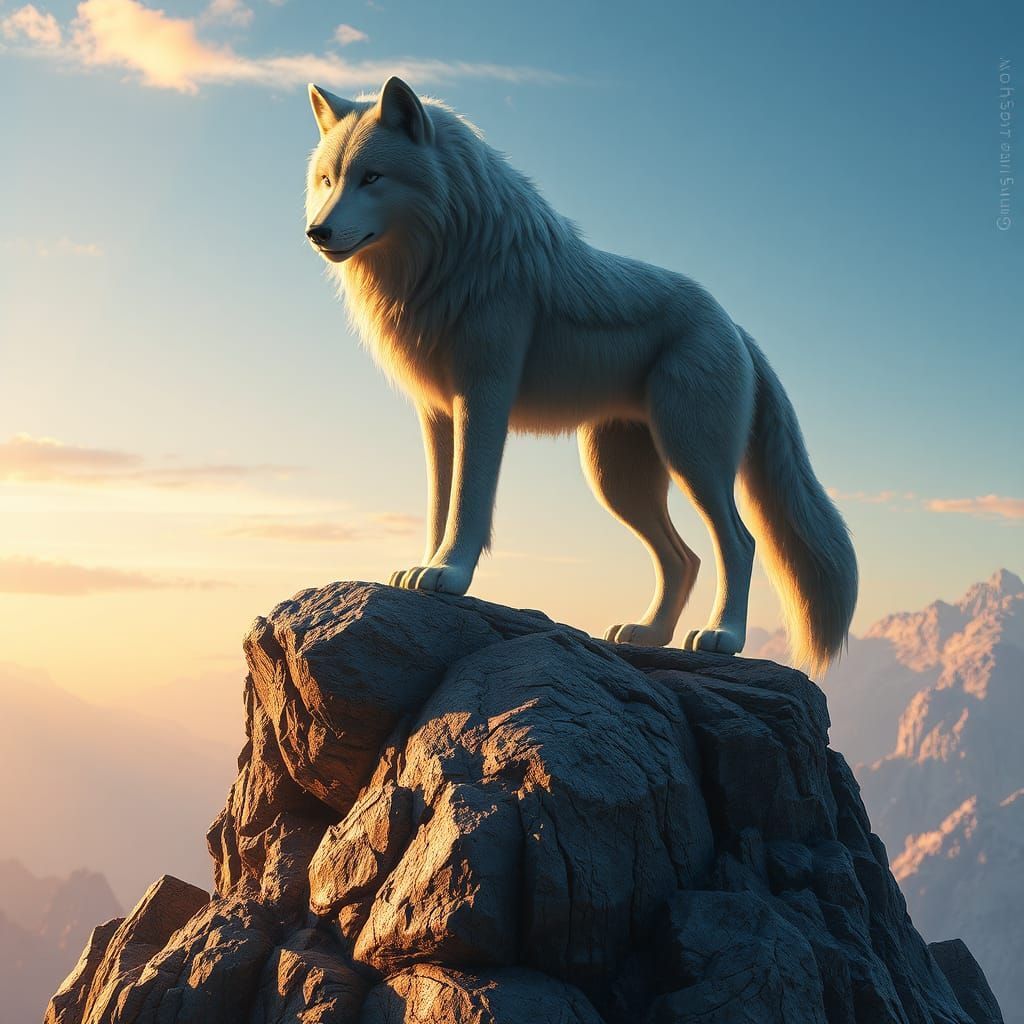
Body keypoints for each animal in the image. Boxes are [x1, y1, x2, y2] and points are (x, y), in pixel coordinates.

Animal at [303, 77, 858, 672]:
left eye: (372, 177)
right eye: (329, 179)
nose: (317, 232)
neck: (454, 253)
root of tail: (734, 326)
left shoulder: (484, 396)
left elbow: (468, 501)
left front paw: (450, 574)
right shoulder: (436, 413)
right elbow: (437, 504)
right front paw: (425, 570)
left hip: (693, 460)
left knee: (740, 542)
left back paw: (721, 636)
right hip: (617, 480)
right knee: (683, 558)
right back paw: (647, 633)